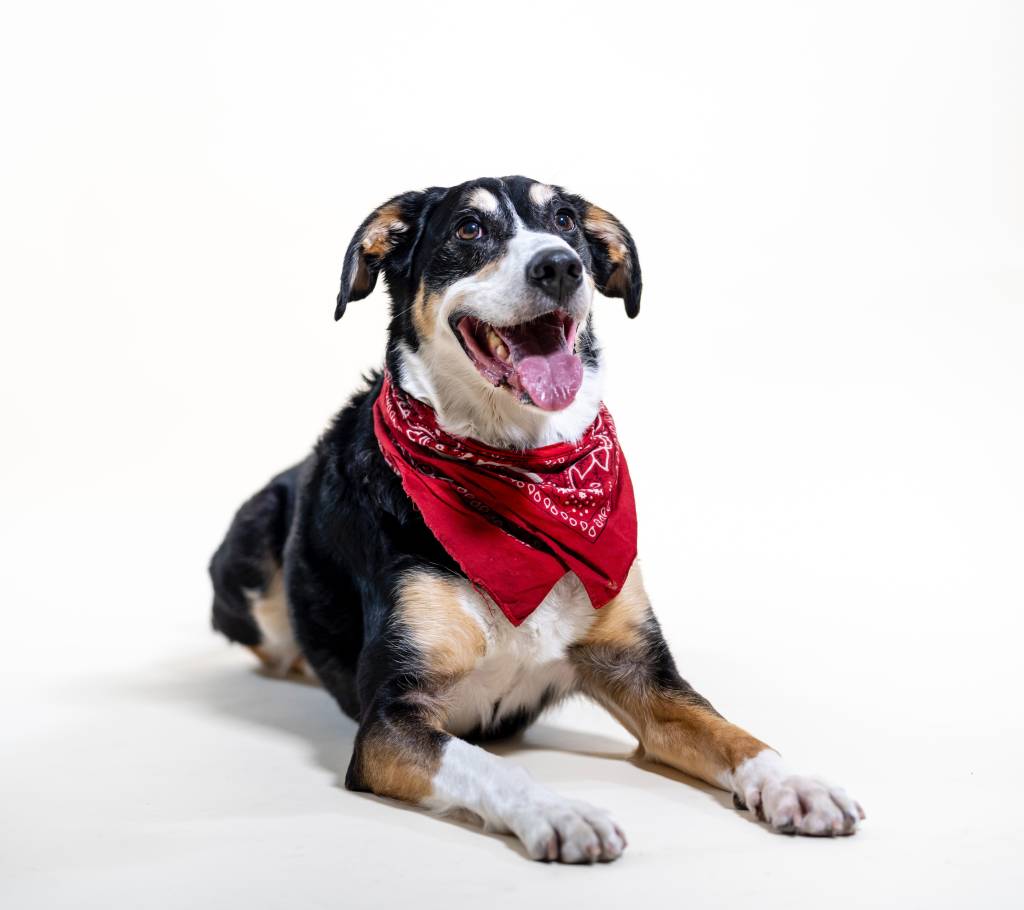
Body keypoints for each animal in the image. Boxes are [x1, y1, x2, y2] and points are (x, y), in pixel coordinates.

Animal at [207, 176, 864, 859]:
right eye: (468, 228)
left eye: (567, 221)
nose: (560, 265)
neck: (523, 475)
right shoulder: (391, 719)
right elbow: (488, 765)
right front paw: (561, 811)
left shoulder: (641, 673)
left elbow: (730, 730)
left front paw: (797, 783)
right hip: (255, 550)